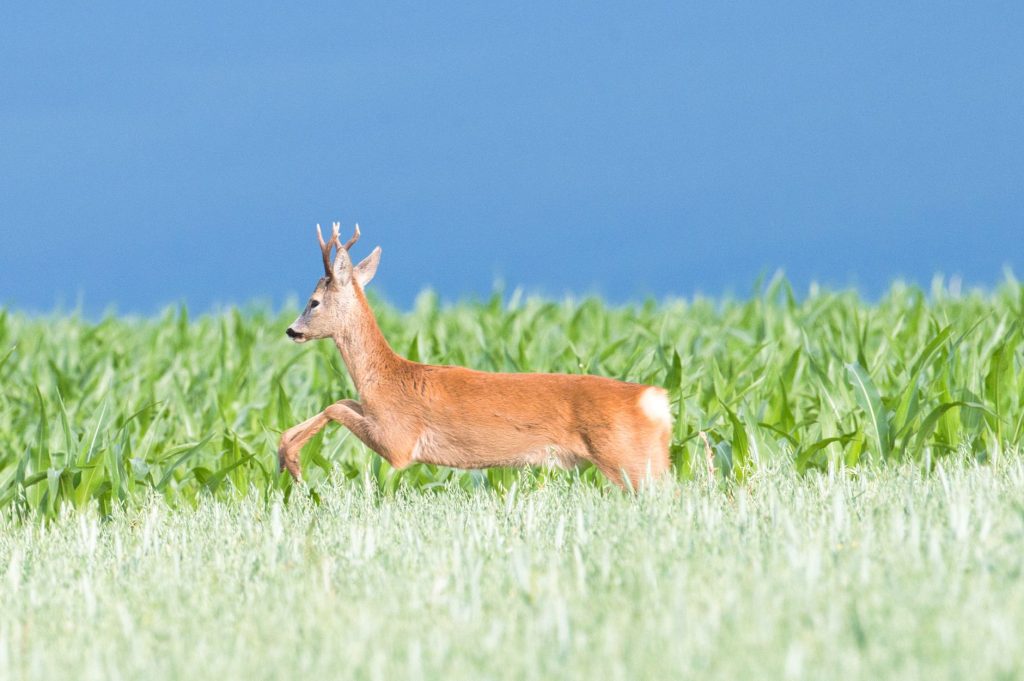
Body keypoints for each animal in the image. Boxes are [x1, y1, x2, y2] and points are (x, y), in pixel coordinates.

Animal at [277, 223, 672, 488]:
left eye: (313, 302)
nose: (292, 331)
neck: (387, 376)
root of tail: (655, 398)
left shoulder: (399, 441)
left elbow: (336, 406)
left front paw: (292, 462)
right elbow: (343, 401)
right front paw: (285, 453)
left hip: (625, 458)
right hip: (652, 459)